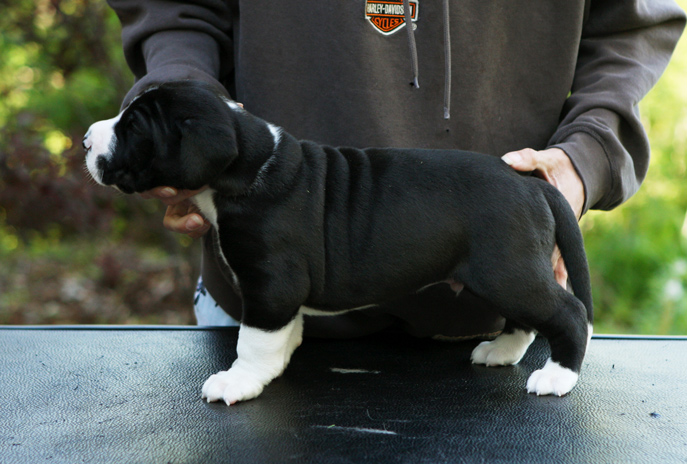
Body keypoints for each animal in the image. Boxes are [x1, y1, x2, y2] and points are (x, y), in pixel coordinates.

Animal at [83, 81, 592, 404]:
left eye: (134, 128)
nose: (86, 140)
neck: (248, 164)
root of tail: (529, 183)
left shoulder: (270, 283)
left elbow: (253, 340)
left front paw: (240, 381)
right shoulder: (278, 292)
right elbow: (280, 333)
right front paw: (278, 360)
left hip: (507, 270)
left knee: (568, 313)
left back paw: (558, 376)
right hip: (507, 274)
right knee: (526, 320)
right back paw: (502, 352)